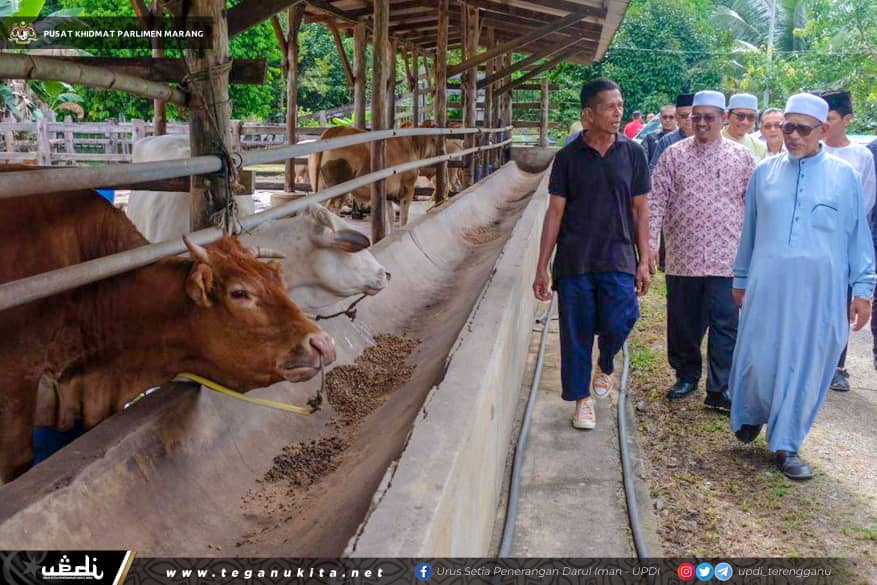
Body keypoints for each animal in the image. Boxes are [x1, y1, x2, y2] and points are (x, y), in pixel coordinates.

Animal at [308, 123, 438, 226]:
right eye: (434, 140)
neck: (412, 144)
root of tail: (333, 131)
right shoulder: (408, 188)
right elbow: (404, 217)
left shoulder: (388, 193)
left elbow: (390, 217)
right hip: (339, 190)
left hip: (320, 187)